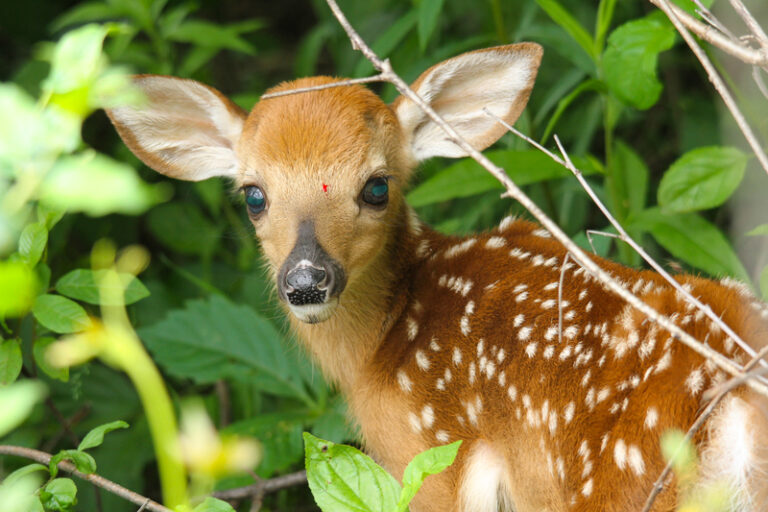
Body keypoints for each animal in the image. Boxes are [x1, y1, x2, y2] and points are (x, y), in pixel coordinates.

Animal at [106, 42, 768, 511]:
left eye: (377, 187)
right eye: (253, 195)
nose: (307, 281)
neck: (381, 346)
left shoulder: (425, 459)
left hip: (621, 482)